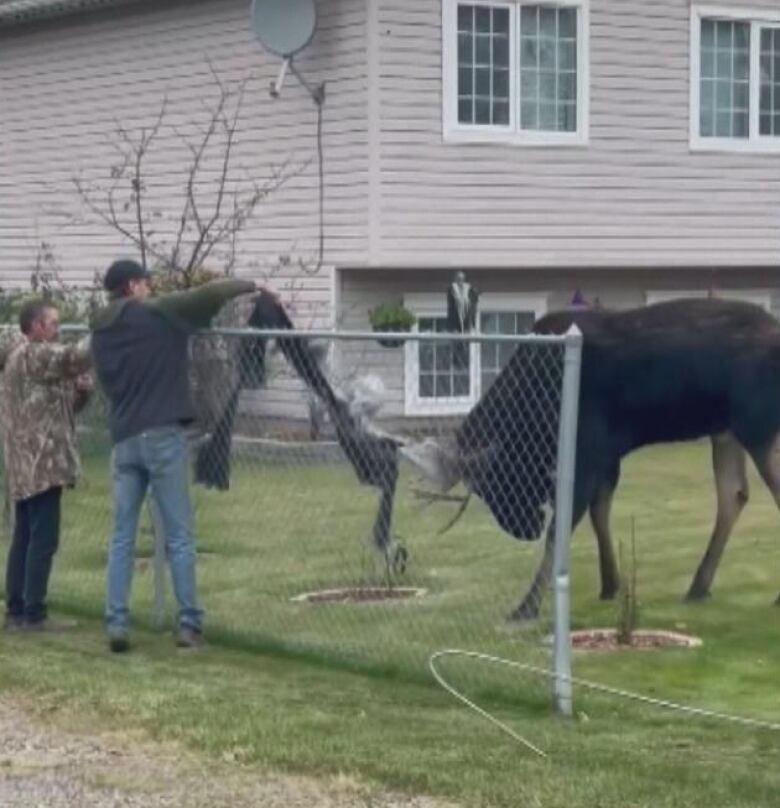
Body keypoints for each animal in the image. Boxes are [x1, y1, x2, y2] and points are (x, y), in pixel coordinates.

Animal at [406, 296, 780, 620]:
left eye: (493, 483)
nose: (524, 530)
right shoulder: (607, 455)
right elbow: (599, 512)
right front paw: (610, 585)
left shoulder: (587, 448)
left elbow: (562, 527)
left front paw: (526, 608)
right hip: (727, 429)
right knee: (733, 493)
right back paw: (698, 586)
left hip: (757, 426)